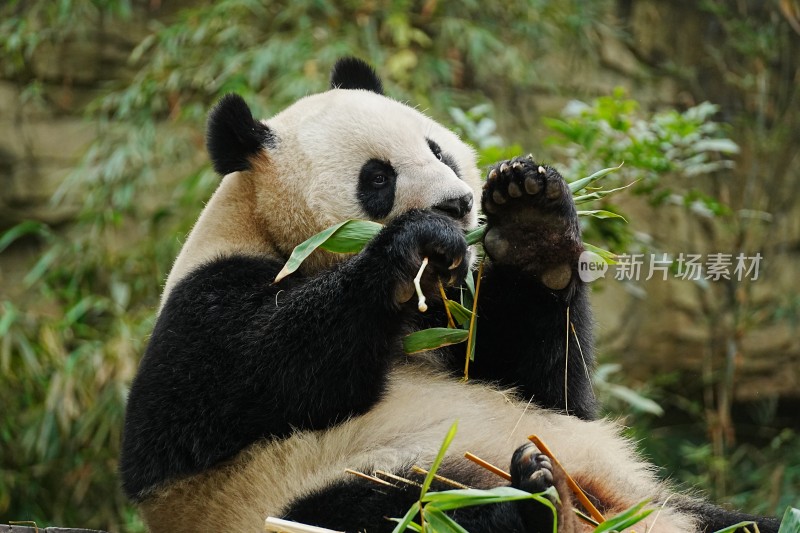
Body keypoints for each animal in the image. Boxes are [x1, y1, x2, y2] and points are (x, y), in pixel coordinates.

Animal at [120, 58, 780, 532]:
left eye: (436, 148)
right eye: (378, 178)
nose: (457, 204)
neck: (271, 229)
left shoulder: (455, 320)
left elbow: (548, 386)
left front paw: (531, 223)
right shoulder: (205, 303)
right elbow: (232, 385)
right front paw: (413, 245)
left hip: (670, 503)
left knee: (739, 522)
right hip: (310, 486)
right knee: (403, 508)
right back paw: (535, 500)